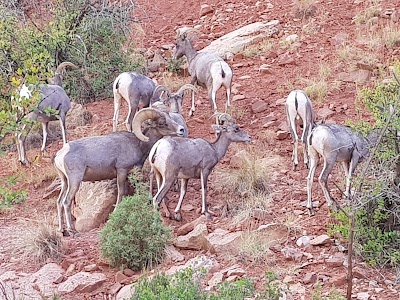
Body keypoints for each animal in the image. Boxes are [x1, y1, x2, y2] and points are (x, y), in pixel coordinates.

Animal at [54, 106, 187, 236]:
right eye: (161, 123)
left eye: (170, 118)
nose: (181, 130)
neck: (138, 145)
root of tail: (60, 155)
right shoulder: (122, 170)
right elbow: (121, 192)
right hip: (75, 180)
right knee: (66, 202)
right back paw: (72, 231)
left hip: (65, 181)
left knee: (59, 201)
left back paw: (61, 230)